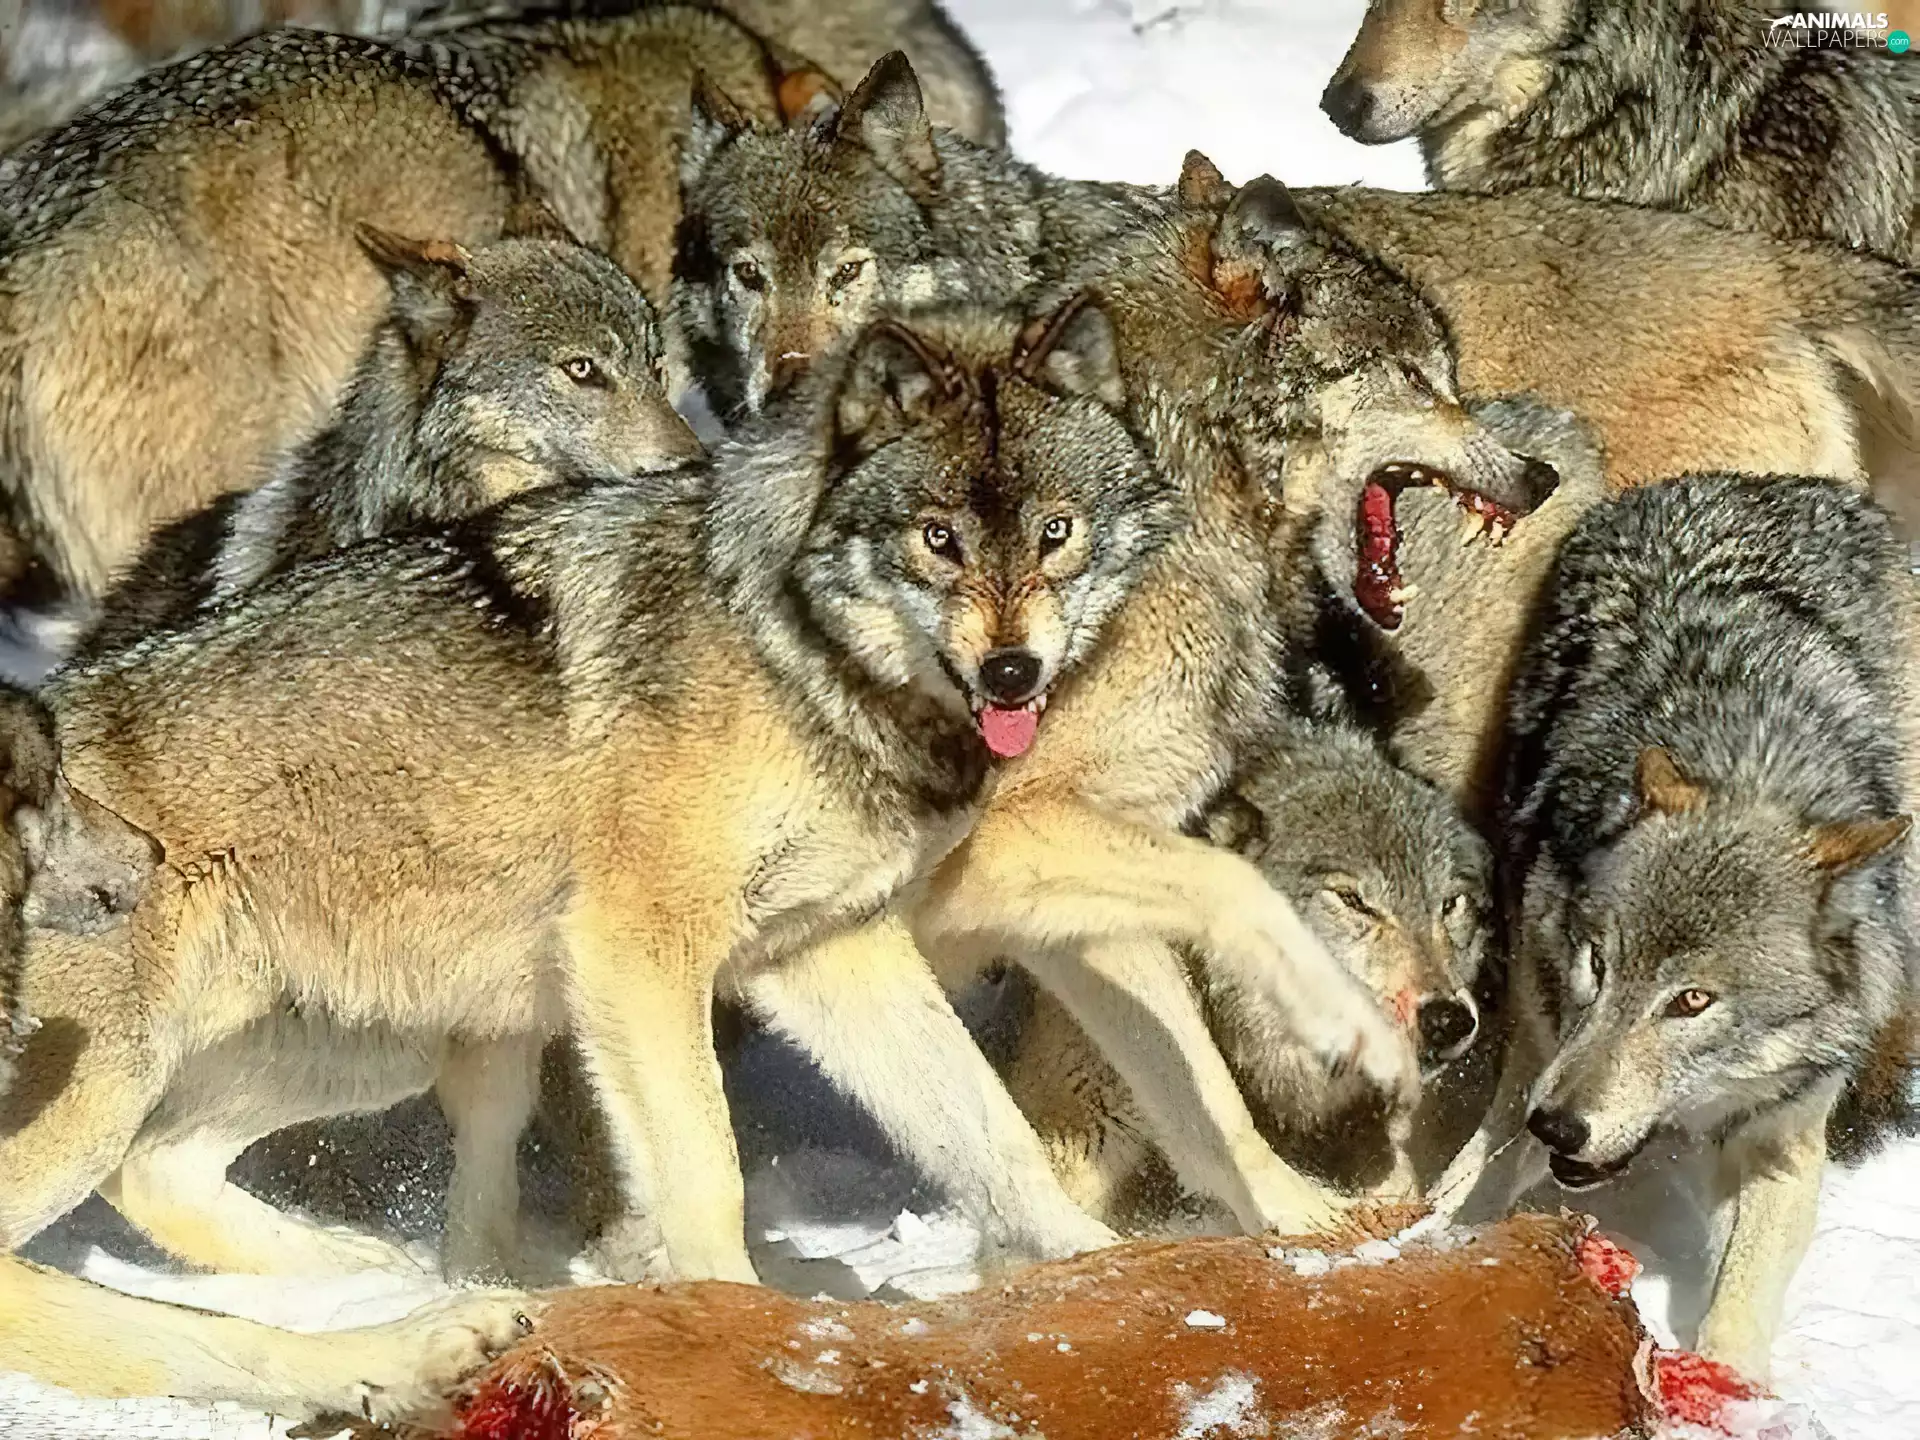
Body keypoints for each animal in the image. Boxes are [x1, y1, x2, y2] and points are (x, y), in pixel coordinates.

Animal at [0, 298, 1174, 1295]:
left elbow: (995, 1139)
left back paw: (371, 1282)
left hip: (382, 1045)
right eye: (939, 539)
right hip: (121, 1088)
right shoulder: (637, 954)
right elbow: (708, 1173)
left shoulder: (830, 951)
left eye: (1058, 532)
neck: (797, 658)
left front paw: (1101, 1267)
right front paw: (736, 1315)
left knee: (155, 1170)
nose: (1013, 674)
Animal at [1434, 475, 1917, 1381]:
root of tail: (1763, 484)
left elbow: (1738, 1307)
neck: (1747, 756)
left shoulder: (1783, 1137)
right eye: (1597, 961)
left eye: (1692, 1002)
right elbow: (1473, 1173)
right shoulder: (1539, 1045)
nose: (1560, 1126)